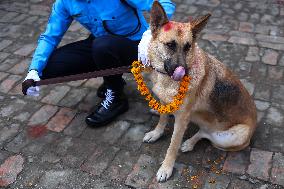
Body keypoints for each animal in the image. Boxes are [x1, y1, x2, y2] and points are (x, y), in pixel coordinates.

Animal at [143, 1, 256, 182]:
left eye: (188, 47)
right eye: (170, 45)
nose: (184, 72)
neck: (167, 81)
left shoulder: (182, 119)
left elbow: (173, 145)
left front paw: (166, 168)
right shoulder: (165, 102)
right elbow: (162, 119)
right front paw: (156, 133)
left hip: (232, 137)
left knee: (206, 134)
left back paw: (189, 143)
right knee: (203, 130)